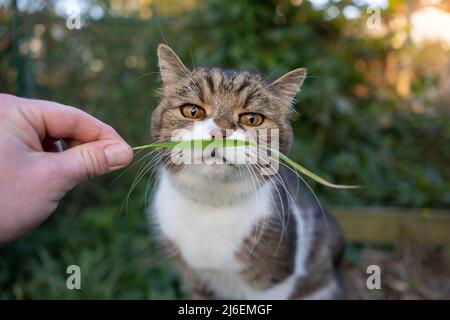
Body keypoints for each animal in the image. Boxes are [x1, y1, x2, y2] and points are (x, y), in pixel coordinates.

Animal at [150, 44, 344, 300]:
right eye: (192, 111)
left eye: (252, 119)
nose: (219, 132)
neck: (212, 208)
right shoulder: (198, 283)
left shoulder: (273, 281)